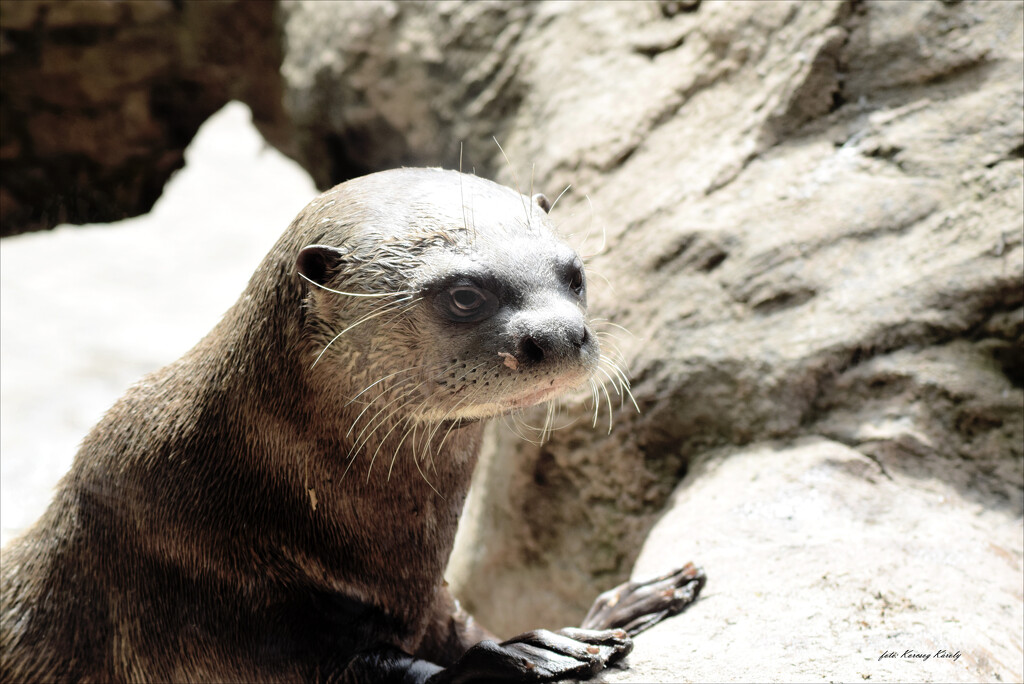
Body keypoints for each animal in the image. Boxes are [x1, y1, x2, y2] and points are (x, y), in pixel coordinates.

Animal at [0, 166, 704, 684]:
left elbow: (456, 630)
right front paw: (525, 652)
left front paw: (620, 604)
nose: (560, 335)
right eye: (465, 294)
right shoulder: (182, 588)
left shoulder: (427, 599)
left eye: (574, 273)